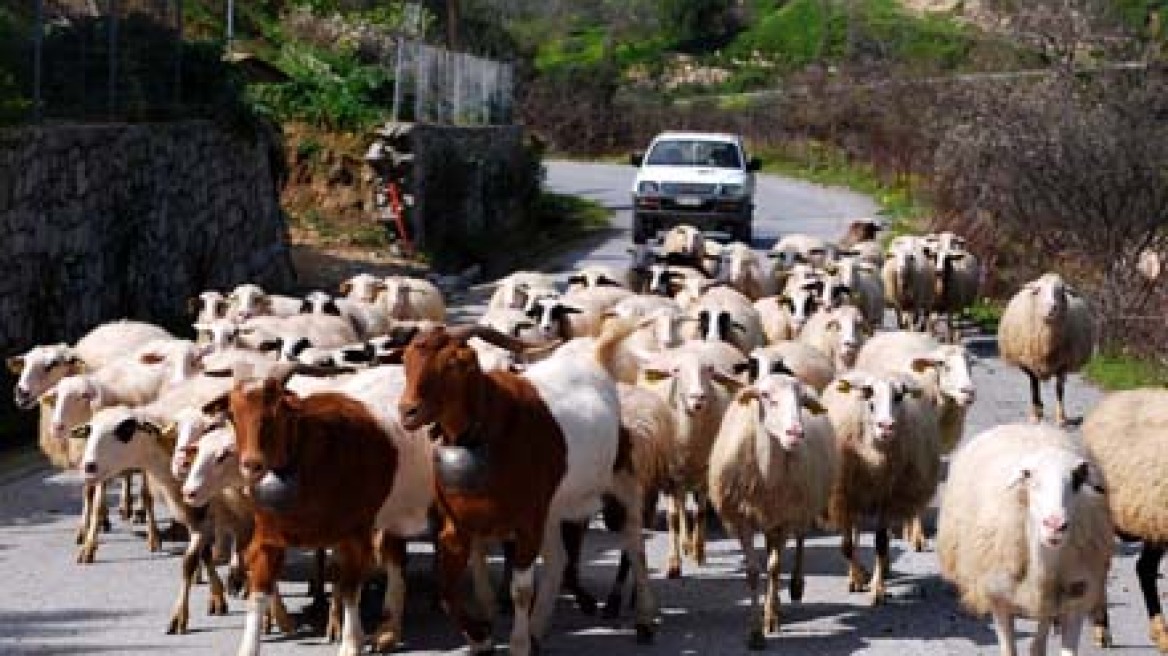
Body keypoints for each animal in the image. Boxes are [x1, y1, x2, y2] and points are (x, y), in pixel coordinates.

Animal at [705, 373, 836, 644]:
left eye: (802, 400)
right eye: (765, 396)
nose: (795, 432)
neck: (767, 475)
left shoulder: (784, 518)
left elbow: (774, 568)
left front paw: (769, 619)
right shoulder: (742, 519)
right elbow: (754, 572)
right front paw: (756, 632)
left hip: (803, 503)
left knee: (800, 537)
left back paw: (794, 588)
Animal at [822, 368, 939, 602]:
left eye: (899, 396)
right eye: (868, 394)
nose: (886, 426)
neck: (874, 459)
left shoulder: (888, 497)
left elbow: (881, 543)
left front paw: (877, 588)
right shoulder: (843, 496)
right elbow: (846, 546)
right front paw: (859, 578)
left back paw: (881, 570)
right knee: (855, 533)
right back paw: (856, 575)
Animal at [934, 420, 1107, 653]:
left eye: (1077, 481)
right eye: (1029, 476)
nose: (1055, 525)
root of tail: (1026, 425)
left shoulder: (1077, 602)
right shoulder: (998, 599)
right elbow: (1009, 650)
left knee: (1039, 638)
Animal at [995, 270, 1093, 424]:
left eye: (1061, 291)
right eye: (1038, 290)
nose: (1052, 307)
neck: (1047, 341)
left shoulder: (1063, 363)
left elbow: (1059, 389)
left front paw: (1061, 418)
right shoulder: (1028, 363)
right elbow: (1034, 386)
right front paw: (1035, 415)